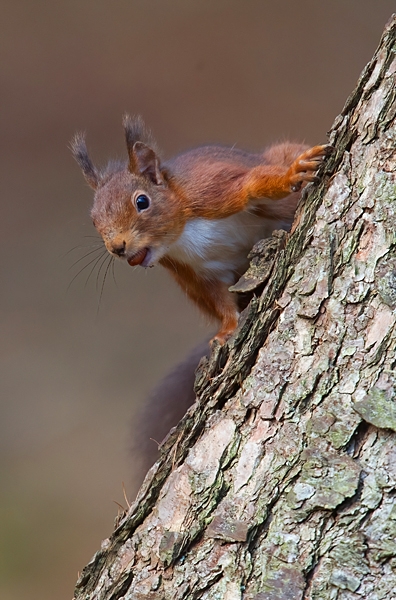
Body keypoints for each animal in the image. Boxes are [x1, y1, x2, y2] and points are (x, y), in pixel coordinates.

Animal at [72, 116, 332, 342]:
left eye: (142, 202)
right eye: (93, 220)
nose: (117, 247)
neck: (180, 236)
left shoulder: (210, 191)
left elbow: (251, 185)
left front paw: (291, 174)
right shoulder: (201, 272)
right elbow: (220, 299)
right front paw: (227, 330)